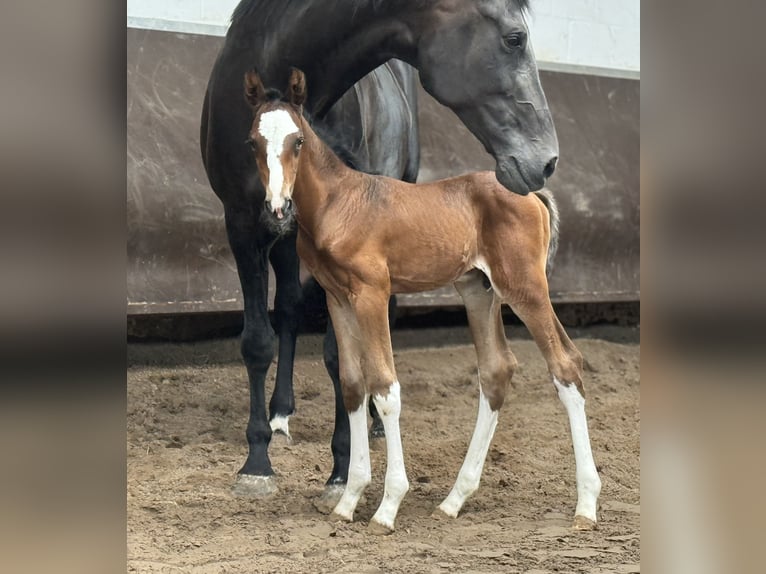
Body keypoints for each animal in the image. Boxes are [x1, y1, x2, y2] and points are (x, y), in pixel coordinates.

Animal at [198, 0, 560, 504]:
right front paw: (257, 464)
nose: (546, 161)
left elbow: (340, 357)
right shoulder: (244, 226)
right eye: (514, 38)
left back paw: (366, 424)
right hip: (286, 239)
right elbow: (257, 342)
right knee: (288, 307)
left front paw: (340, 468)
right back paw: (281, 413)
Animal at [243, 68, 604, 536]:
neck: (339, 202)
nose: (277, 207)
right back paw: (453, 500)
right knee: (496, 370)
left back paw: (586, 504)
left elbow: (385, 387)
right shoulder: (338, 297)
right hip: (478, 290)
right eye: (253, 142)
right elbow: (353, 384)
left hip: (524, 287)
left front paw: (387, 506)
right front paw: (348, 500)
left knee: (565, 365)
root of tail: (531, 195)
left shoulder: (373, 293)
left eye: (298, 141)